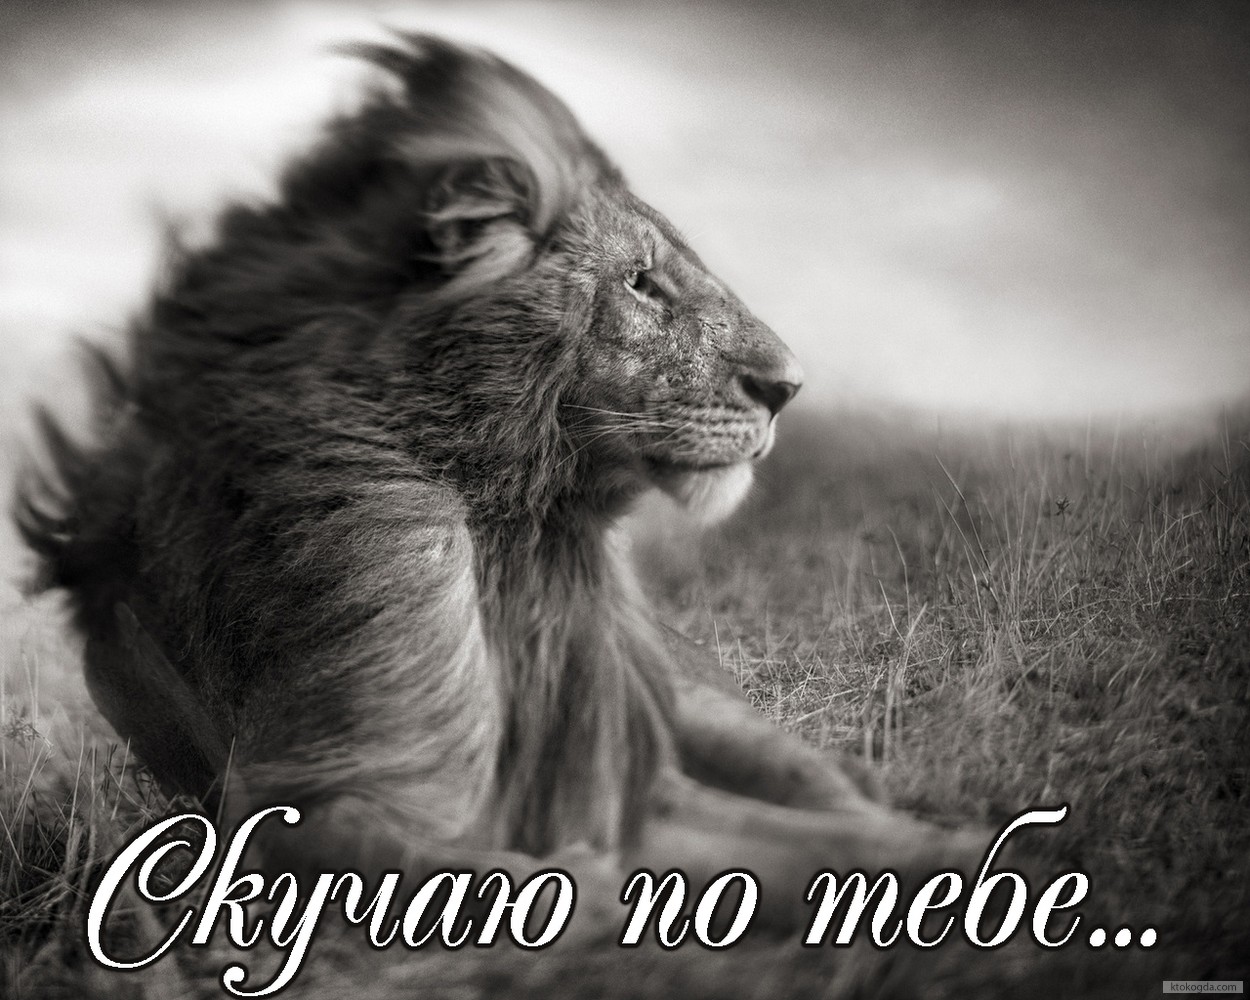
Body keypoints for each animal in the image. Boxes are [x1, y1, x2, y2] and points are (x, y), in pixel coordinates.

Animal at [15, 34, 964, 936]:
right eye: (642, 282)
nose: (788, 388)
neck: (516, 529)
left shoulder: (623, 783)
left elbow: (837, 845)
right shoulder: (314, 801)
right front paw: (582, 891)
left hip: (702, 710)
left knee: (827, 782)